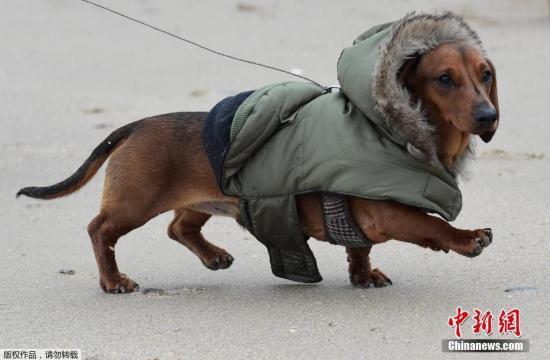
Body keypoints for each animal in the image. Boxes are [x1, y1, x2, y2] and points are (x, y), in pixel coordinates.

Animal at [17, 28, 500, 292]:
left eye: (485, 74)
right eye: (444, 78)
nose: (488, 116)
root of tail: (135, 125)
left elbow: (359, 249)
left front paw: (363, 276)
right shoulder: (388, 213)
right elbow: (431, 225)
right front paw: (467, 237)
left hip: (208, 199)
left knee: (179, 227)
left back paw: (212, 256)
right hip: (134, 203)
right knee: (100, 230)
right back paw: (114, 280)